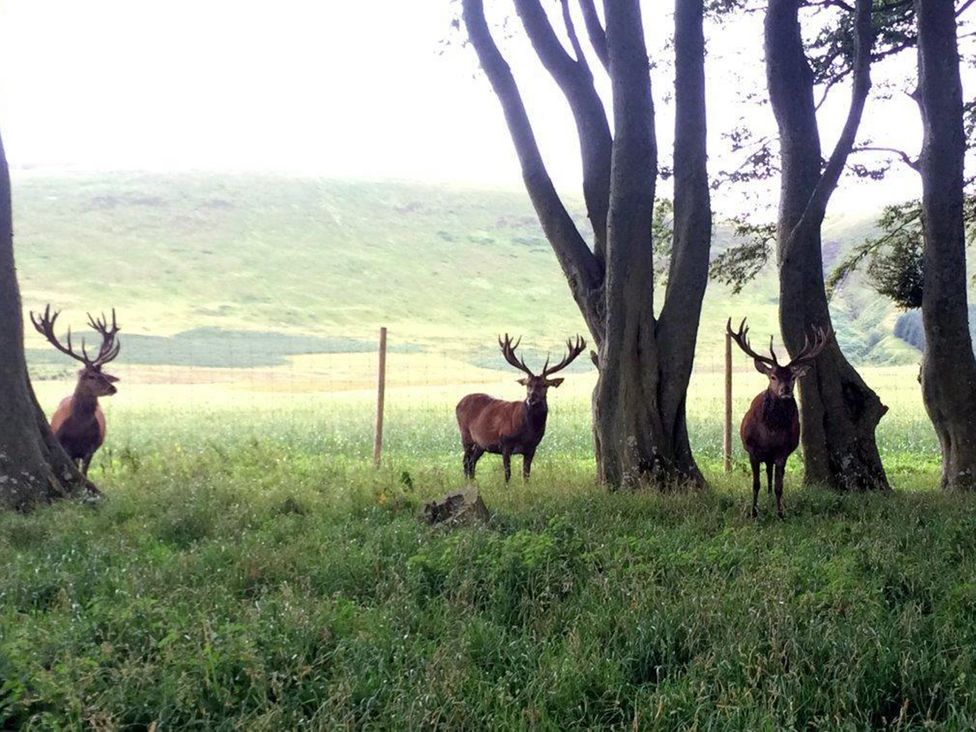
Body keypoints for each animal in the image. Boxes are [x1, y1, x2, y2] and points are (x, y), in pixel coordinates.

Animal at [30, 305, 122, 476]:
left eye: (104, 374)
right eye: (91, 376)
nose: (113, 388)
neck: (78, 431)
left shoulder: (90, 449)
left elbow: (84, 473)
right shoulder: (66, 447)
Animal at [456, 334, 586, 482]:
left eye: (544, 385)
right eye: (528, 384)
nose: (531, 399)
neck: (527, 430)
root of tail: (459, 403)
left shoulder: (532, 448)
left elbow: (526, 475)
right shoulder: (505, 444)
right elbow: (508, 474)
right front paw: (507, 488)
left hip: (481, 444)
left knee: (472, 461)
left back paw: (473, 482)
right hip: (466, 435)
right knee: (466, 461)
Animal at [727, 317, 832, 518]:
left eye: (792, 377)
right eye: (773, 377)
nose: (785, 390)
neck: (771, 432)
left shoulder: (783, 451)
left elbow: (779, 486)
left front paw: (781, 513)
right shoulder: (752, 450)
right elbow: (755, 484)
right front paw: (753, 512)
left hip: (775, 454)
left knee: (772, 474)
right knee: (766, 473)